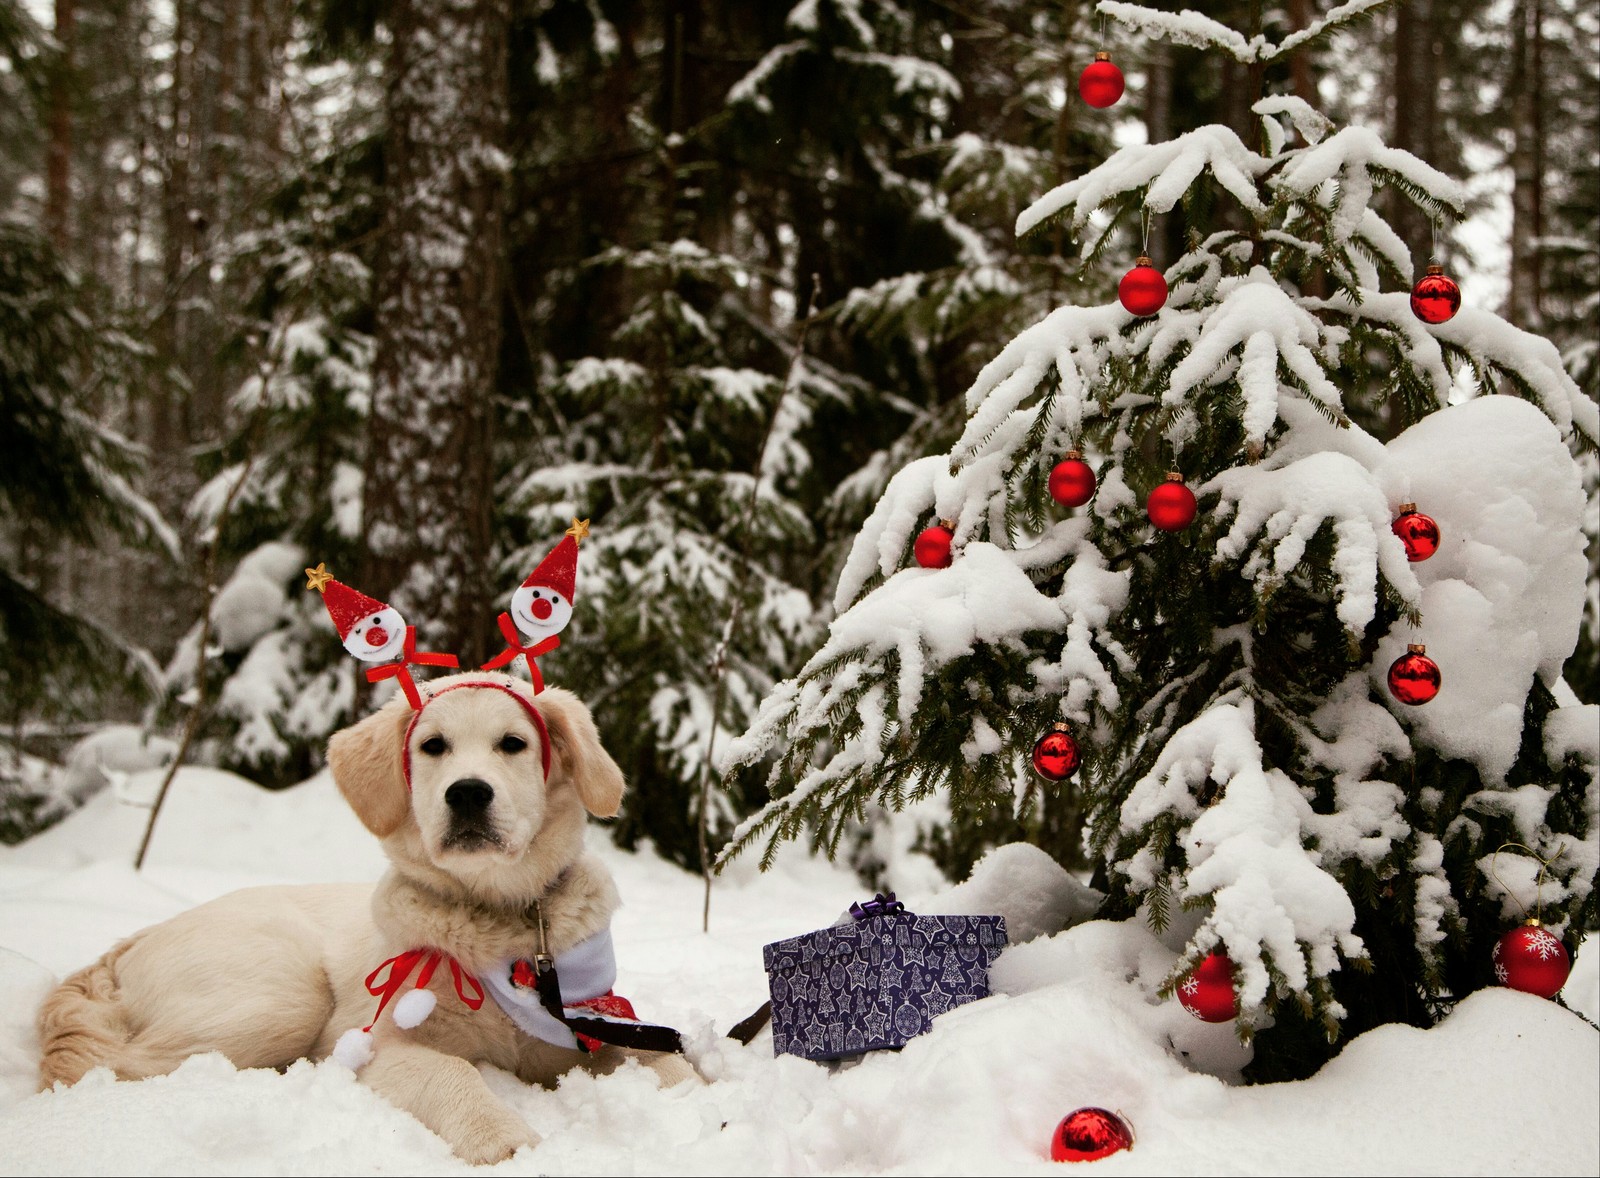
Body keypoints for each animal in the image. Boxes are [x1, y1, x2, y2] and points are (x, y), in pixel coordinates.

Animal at [36, 675, 694, 1165]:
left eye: (513, 744)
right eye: (433, 746)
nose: (468, 793)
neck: (500, 918)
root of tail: (128, 943)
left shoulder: (589, 1025)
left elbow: (665, 1061)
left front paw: (701, 1107)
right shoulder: (366, 1043)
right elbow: (454, 1071)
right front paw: (502, 1138)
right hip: (283, 1000)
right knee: (120, 1065)